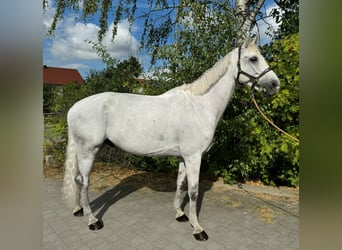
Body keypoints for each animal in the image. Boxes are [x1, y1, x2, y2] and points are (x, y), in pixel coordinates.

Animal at [62, 38, 280, 241]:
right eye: (253, 58)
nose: (275, 84)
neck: (200, 106)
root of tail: (74, 107)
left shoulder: (184, 157)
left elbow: (180, 184)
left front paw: (180, 214)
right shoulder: (194, 157)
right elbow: (193, 191)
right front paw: (198, 229)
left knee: (76, 179)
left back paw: (78, 210)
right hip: (88, 151)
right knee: (83, 182)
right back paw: (93, 220)